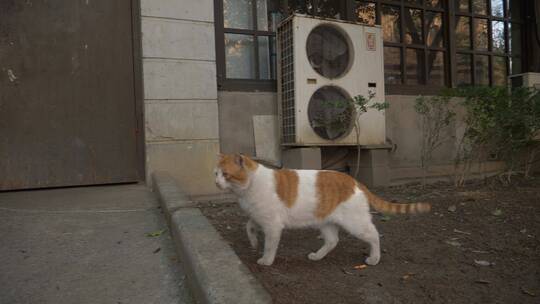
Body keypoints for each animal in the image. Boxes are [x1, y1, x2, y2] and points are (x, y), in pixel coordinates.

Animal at [215, 154, 430, 266]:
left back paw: (374, 258)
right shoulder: (259, 218)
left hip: (356, 224)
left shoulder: (273, 226)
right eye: (215, 173)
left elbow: (269, 246)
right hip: (326, 223)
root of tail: (353, 180)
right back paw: (317, 256)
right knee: (332, 241)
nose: (216, 183)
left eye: (225, 174)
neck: (248, 188)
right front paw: (253, 242)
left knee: (374, 235)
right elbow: (248, 226)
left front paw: (266, 260)